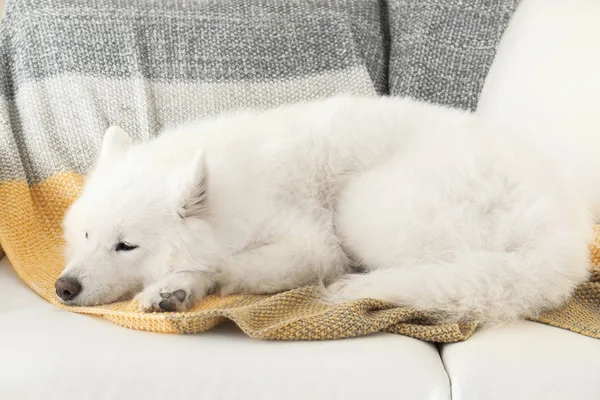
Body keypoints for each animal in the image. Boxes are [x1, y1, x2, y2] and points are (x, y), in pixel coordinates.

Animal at [55, 95, 592, 324]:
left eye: (126, 245)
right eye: (87, 235)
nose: (63, 288)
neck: (230, 195)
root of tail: (558, 245)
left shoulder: (312, 244)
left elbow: (227, 264)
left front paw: (176, 284)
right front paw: (176, 291)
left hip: (363, 207)